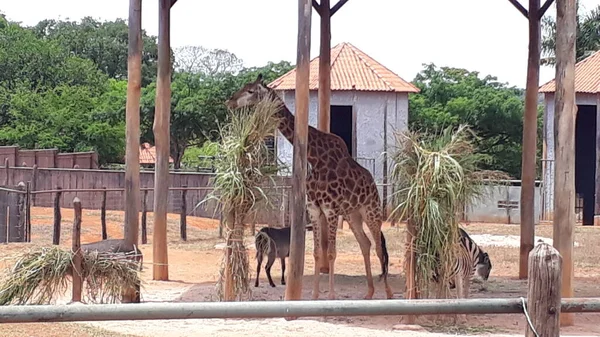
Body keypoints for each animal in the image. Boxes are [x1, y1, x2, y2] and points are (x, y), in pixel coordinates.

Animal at [225, 73, 394, 300]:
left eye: (251, 90)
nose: (230, 101)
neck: (315, 158)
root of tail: (373, 184)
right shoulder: (314, 209)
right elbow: (315, 253)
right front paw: (314, 296)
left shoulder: (330, 210)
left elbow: (331, 253)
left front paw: (330, 297)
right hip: (352, 214)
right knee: (365, 244)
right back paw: (369, 292)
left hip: (371, 210)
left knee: (378, 247)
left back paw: (388, 293)